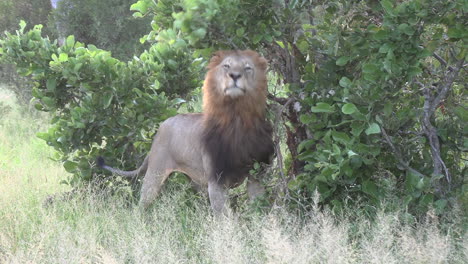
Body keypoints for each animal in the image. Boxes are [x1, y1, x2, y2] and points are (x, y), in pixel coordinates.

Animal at [98, 50, 274, 213]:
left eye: (248, 68)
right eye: (226, 66)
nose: (235, 75)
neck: (237, 119)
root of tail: (160, 128)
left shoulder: (256, 176)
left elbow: (259, 208)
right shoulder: (216, 181)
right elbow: (224, 217)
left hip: (195, 180)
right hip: (155, 174)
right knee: (141, 205)